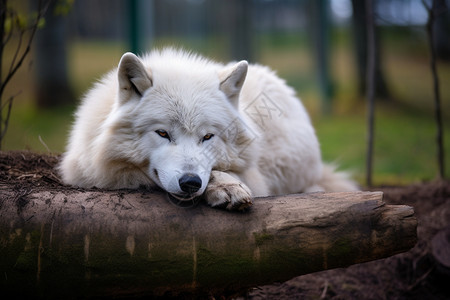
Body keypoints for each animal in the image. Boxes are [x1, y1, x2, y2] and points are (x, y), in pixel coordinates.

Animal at [59, 48, 358, 210]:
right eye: (163, 133)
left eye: (207, 136)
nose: (190, 182)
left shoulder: (252, 174)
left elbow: (219, 170)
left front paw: (227, 186)